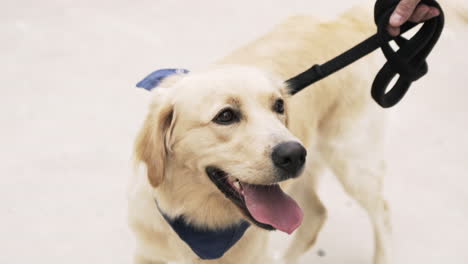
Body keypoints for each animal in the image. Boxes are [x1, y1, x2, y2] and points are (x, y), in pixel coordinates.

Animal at [126, 5, 462, 262]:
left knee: (382, 211)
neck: (202, 225)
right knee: (316, 214)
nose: (293, 154)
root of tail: (340, 21)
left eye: (278, 105)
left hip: (352, 160)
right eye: (225, 116)